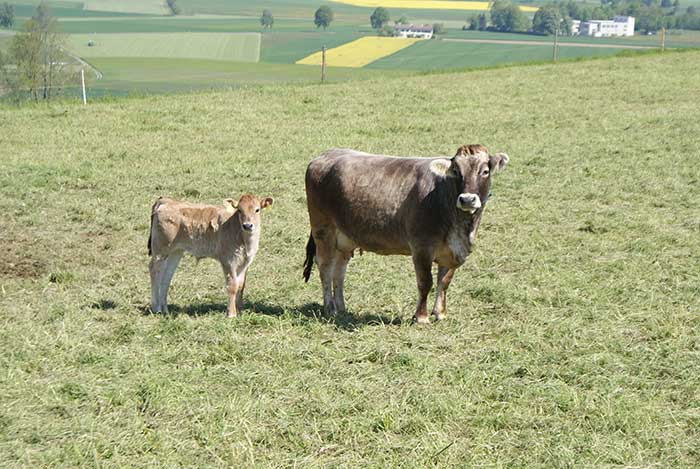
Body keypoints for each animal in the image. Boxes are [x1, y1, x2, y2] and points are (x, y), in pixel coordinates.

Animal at [300, 144, 508, 324]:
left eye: (485, 171)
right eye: (456, 171)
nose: (467, 199)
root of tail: (325, 155)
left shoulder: (452, 251)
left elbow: (444, 282)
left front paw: (440, 313)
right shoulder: (422, 248)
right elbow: (426, 282)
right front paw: (421, 317)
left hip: (345, 238)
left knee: (339, 270)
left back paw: (341, 307)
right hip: (323, 229)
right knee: (326, 266)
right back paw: (330, 308)